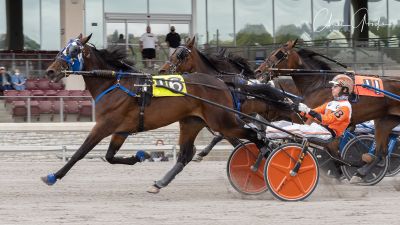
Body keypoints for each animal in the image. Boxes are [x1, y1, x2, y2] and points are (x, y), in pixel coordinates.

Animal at [41, 33, 278, 193]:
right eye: (63, 48)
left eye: (73, 51)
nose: (50, 71)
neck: (115, 84)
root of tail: (222, 83)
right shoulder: (121, 130)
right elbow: (109, 157)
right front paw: (139, 155)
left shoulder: (104, 125)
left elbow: (80, 152)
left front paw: (53, 175)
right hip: (193, 122)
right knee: (187, 154)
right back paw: (159, 183)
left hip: (224, 122)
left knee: (255, 137)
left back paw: (264, 160)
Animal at [255, 39, 400, 182]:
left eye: (279, 54)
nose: (258, 71)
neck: (318, 85)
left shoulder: (323, 124)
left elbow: (330, 148)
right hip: (384, 121)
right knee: (381, 152)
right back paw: (361, 172)